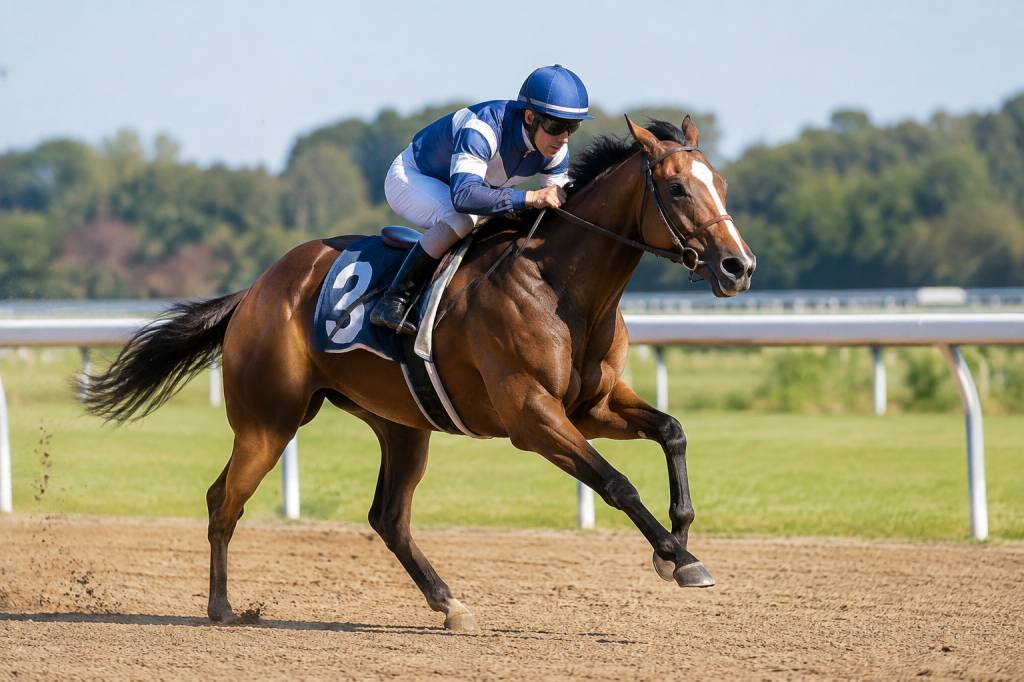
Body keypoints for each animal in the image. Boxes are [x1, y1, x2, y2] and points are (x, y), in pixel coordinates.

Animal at [83, 116, 756, 632]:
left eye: (721, 184)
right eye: (677, 189)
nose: (738, 266)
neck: (560, 285)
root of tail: (257, 288)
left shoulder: (593, 404)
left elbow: (671, 430)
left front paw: (681, 539)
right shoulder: (532, 415)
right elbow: (616, 483)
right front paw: (678, 559)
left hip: (402, 425)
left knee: (388, 518)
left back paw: (449, 603)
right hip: (267, 423)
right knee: (223, 500)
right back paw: (222, 608)